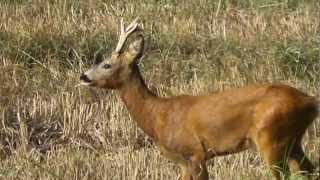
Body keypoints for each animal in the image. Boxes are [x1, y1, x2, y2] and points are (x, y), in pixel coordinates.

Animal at [79, 18, 318, 180]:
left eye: (106, 64)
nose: (83, 76)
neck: (156, 115)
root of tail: (311, 101)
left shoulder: (195, 153)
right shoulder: (184, 162)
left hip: (271, 137)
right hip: (292, 140)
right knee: (309, 170)